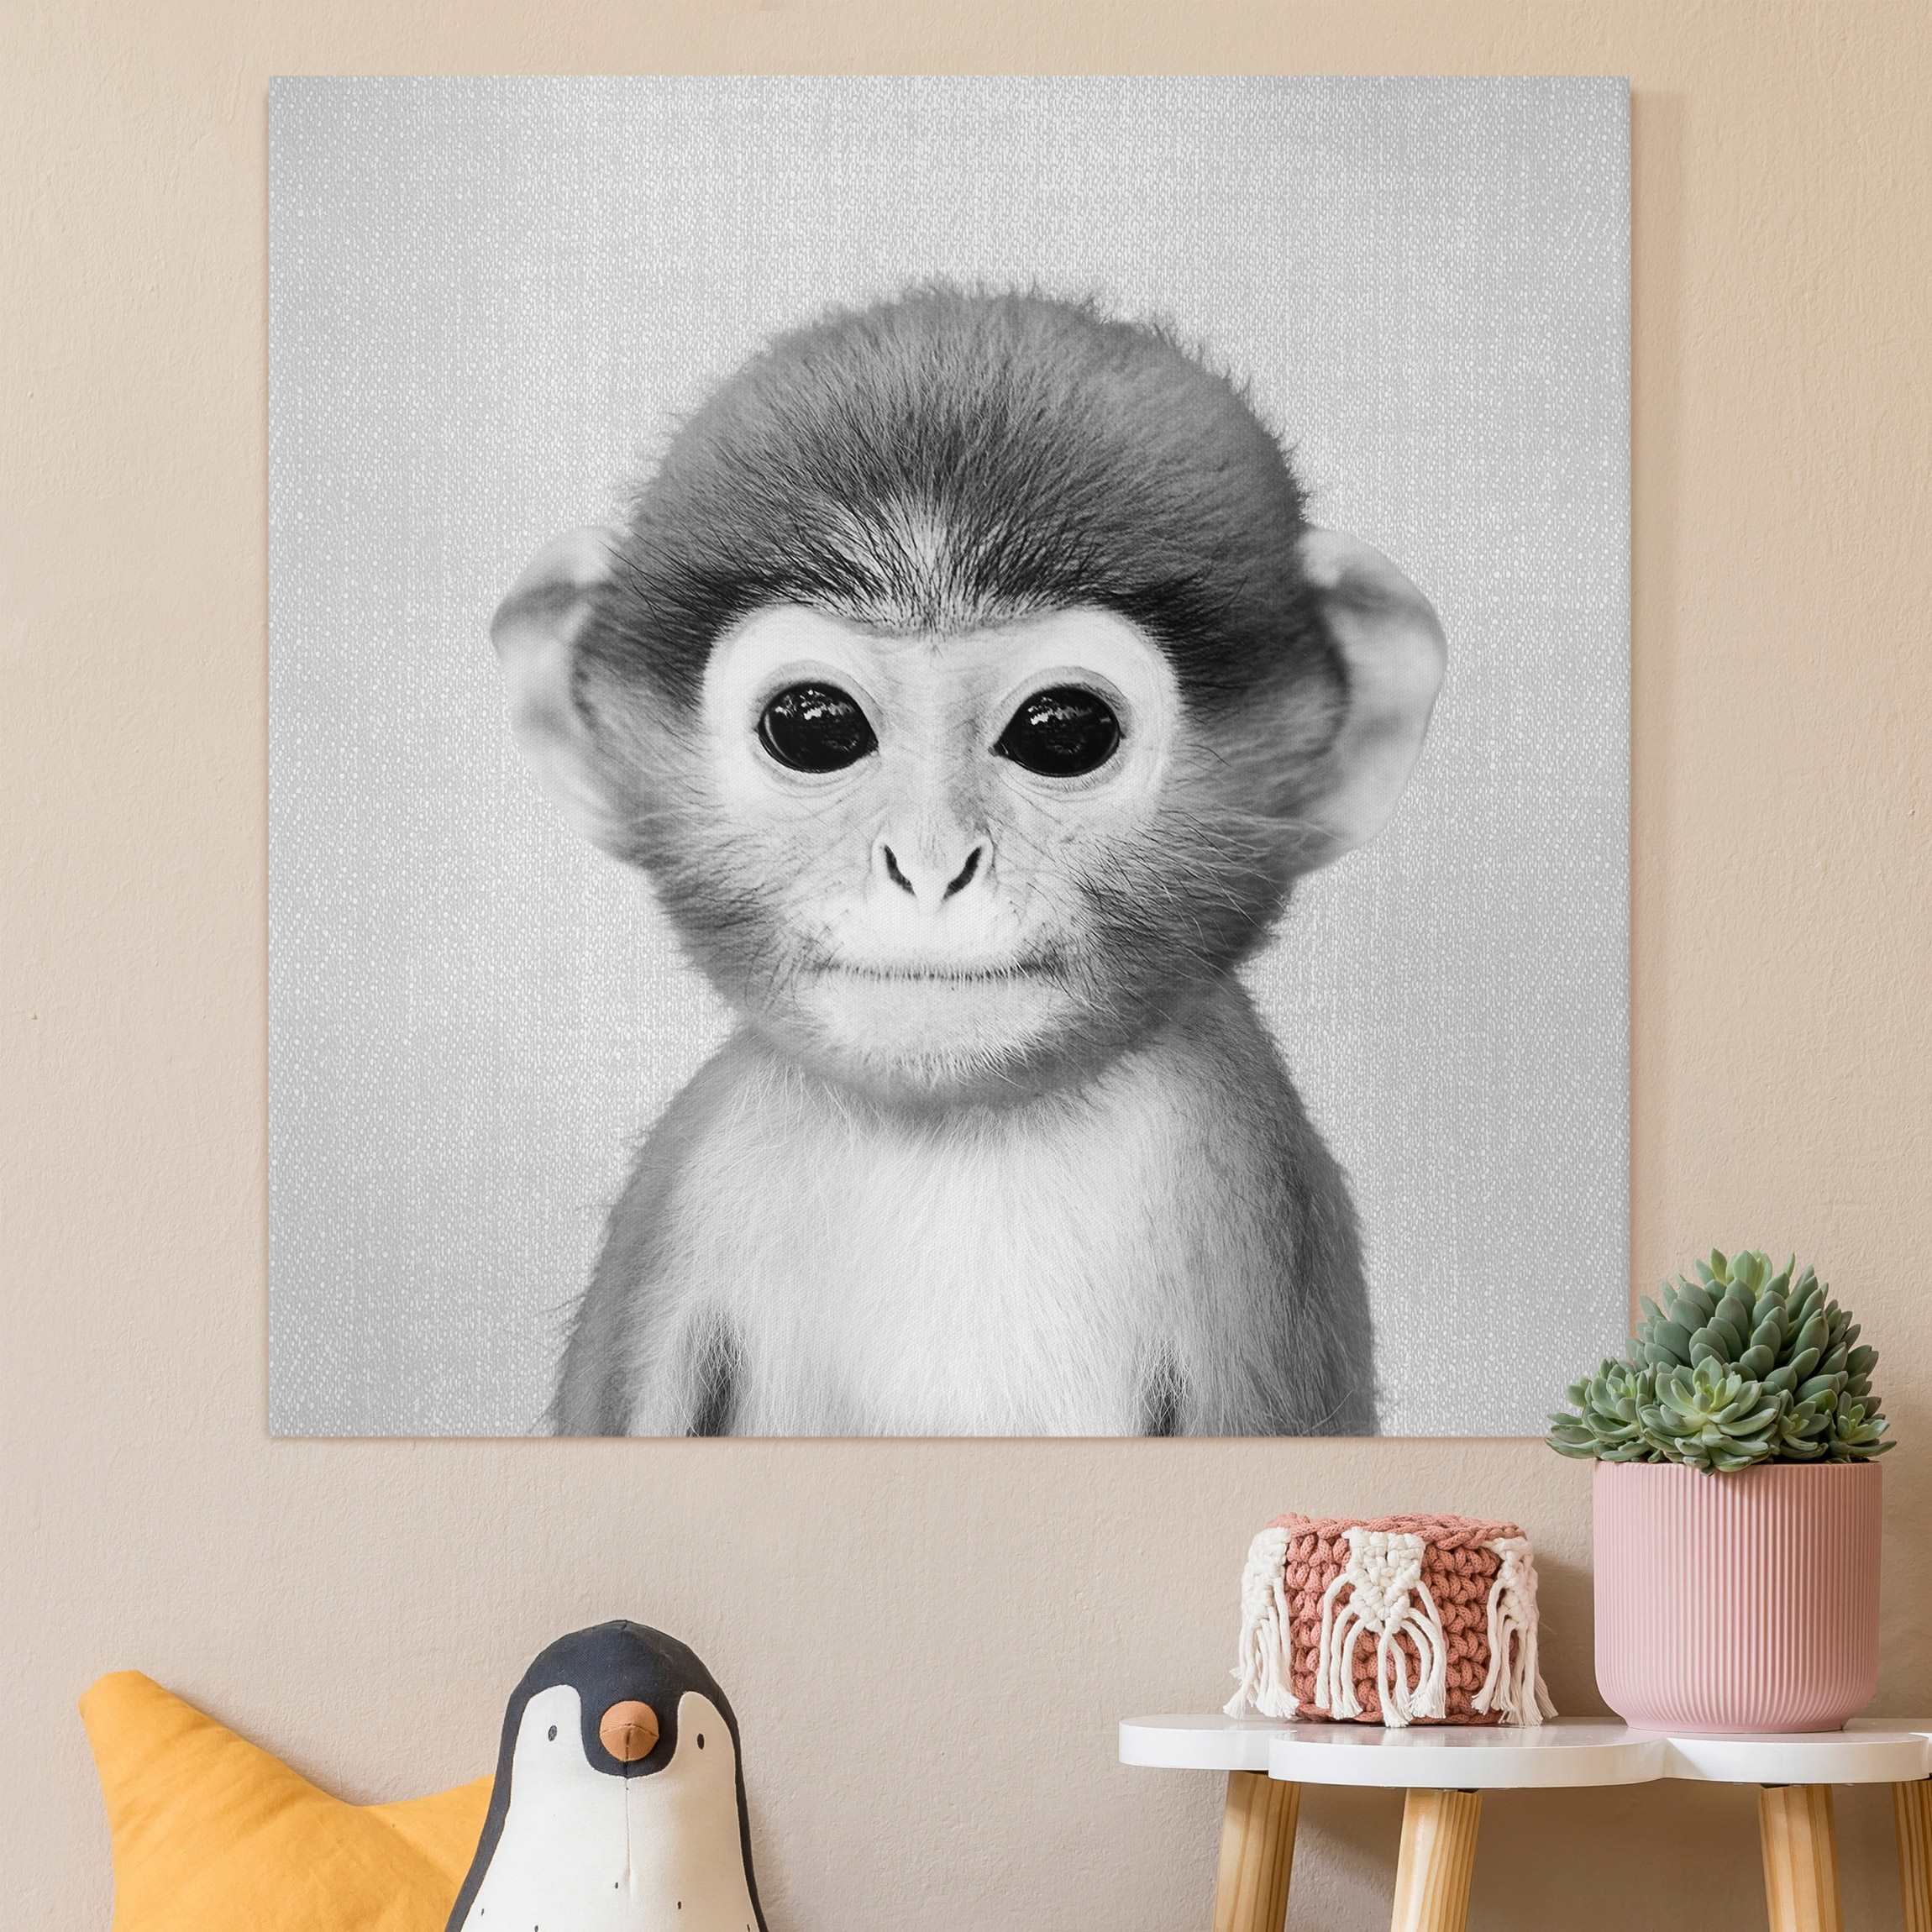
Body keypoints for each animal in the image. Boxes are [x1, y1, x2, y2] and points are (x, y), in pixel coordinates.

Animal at [490, 285, 1446, 1438]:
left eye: (1063, 731)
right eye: (812, 725)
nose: (930, 864)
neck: (958, 1137)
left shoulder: (1247, 1201)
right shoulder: (684, 1185)